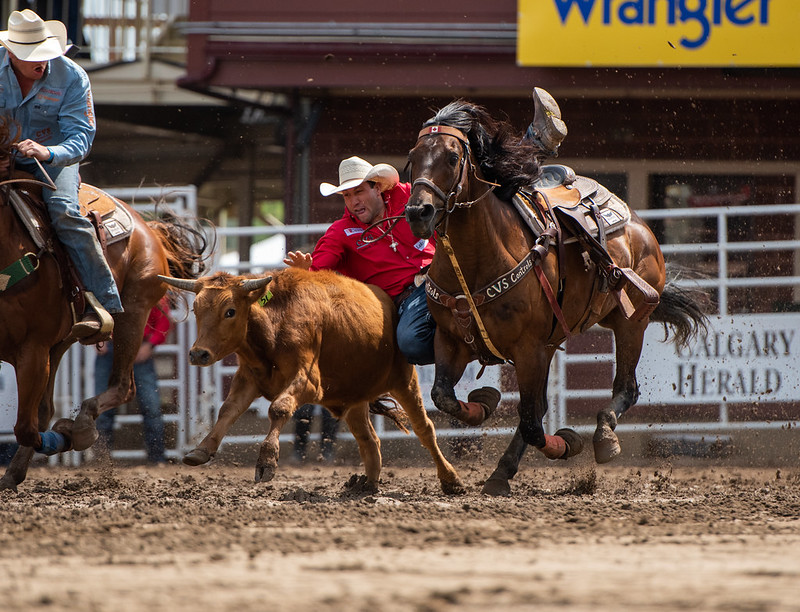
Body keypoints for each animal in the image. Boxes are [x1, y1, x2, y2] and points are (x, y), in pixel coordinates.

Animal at [0, 119, 209, 492]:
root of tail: (147, 226)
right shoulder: (37, 349)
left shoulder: (32, 348)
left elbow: (25, 426)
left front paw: (71, 436)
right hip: (59, 343)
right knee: (44, 409)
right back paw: (16, 471)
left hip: (132, 315)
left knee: (121, 387)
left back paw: (80, 427)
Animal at [406, 98, 708, 494]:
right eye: (413, 156)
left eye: (453, 157)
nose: (418, 211)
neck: (476, 259)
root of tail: (641, 227)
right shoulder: (451, 339)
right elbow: (444, 397)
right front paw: (485, 401)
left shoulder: (529, 348)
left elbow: (533, 425)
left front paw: (567, 444)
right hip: (555, 344)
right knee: (540, 408)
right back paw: (502, 472)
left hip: (630, 324)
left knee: (623, 389)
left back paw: (602, 438)